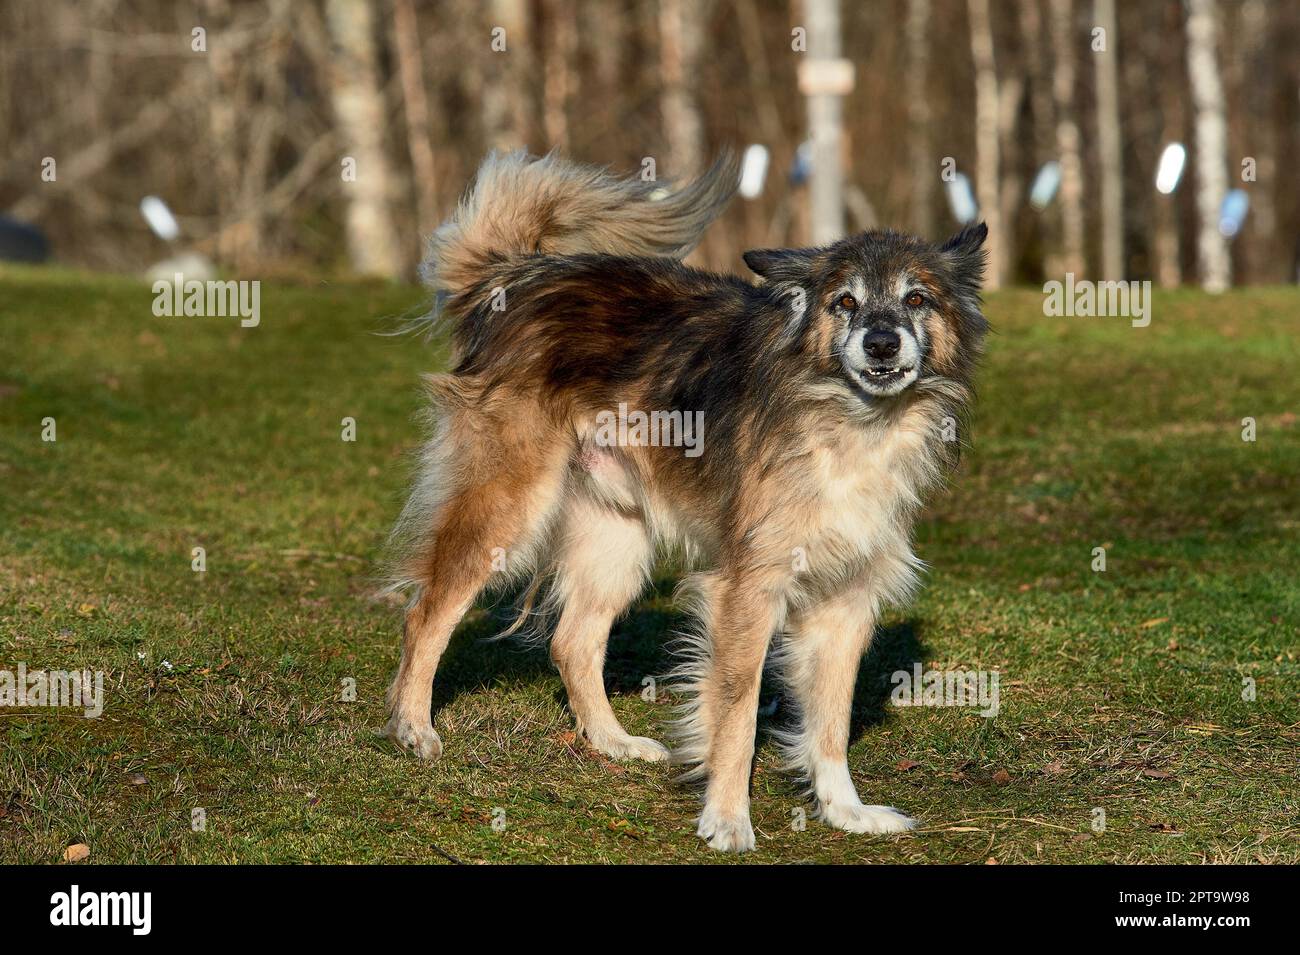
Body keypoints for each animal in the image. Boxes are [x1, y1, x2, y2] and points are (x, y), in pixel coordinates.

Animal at [379, 153, 987, 857]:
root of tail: (520, 278)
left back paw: (611, 742)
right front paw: (726, 818)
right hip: (508, 507)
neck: (849, 419)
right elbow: (736, 711)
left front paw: (845, 812)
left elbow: (830, 722)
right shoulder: (748, 589)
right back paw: (413, 727)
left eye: (917, 299)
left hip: (617, 536)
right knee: (426, 612)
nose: (883, 343)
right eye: (845, 303)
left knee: (572, 640)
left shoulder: (846, 600)